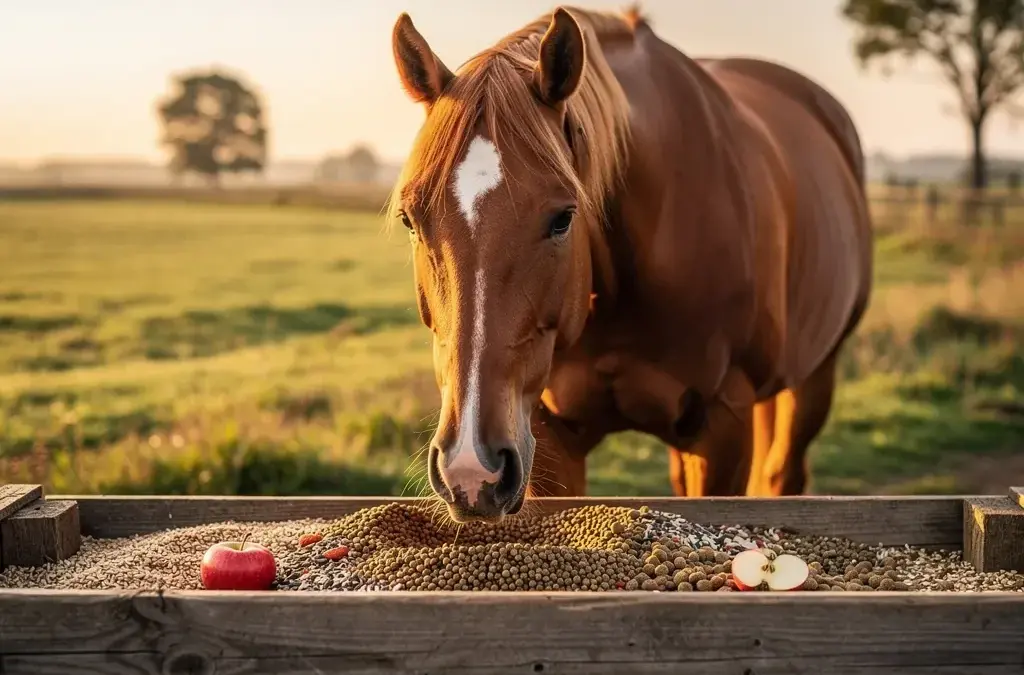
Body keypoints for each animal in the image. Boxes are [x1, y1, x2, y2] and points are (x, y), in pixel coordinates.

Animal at [387, 5, 873, 522]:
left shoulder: (723, 426)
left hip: (815, 376)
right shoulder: (548, 432)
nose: (471, 469)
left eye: (563, 218)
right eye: (410, 219)